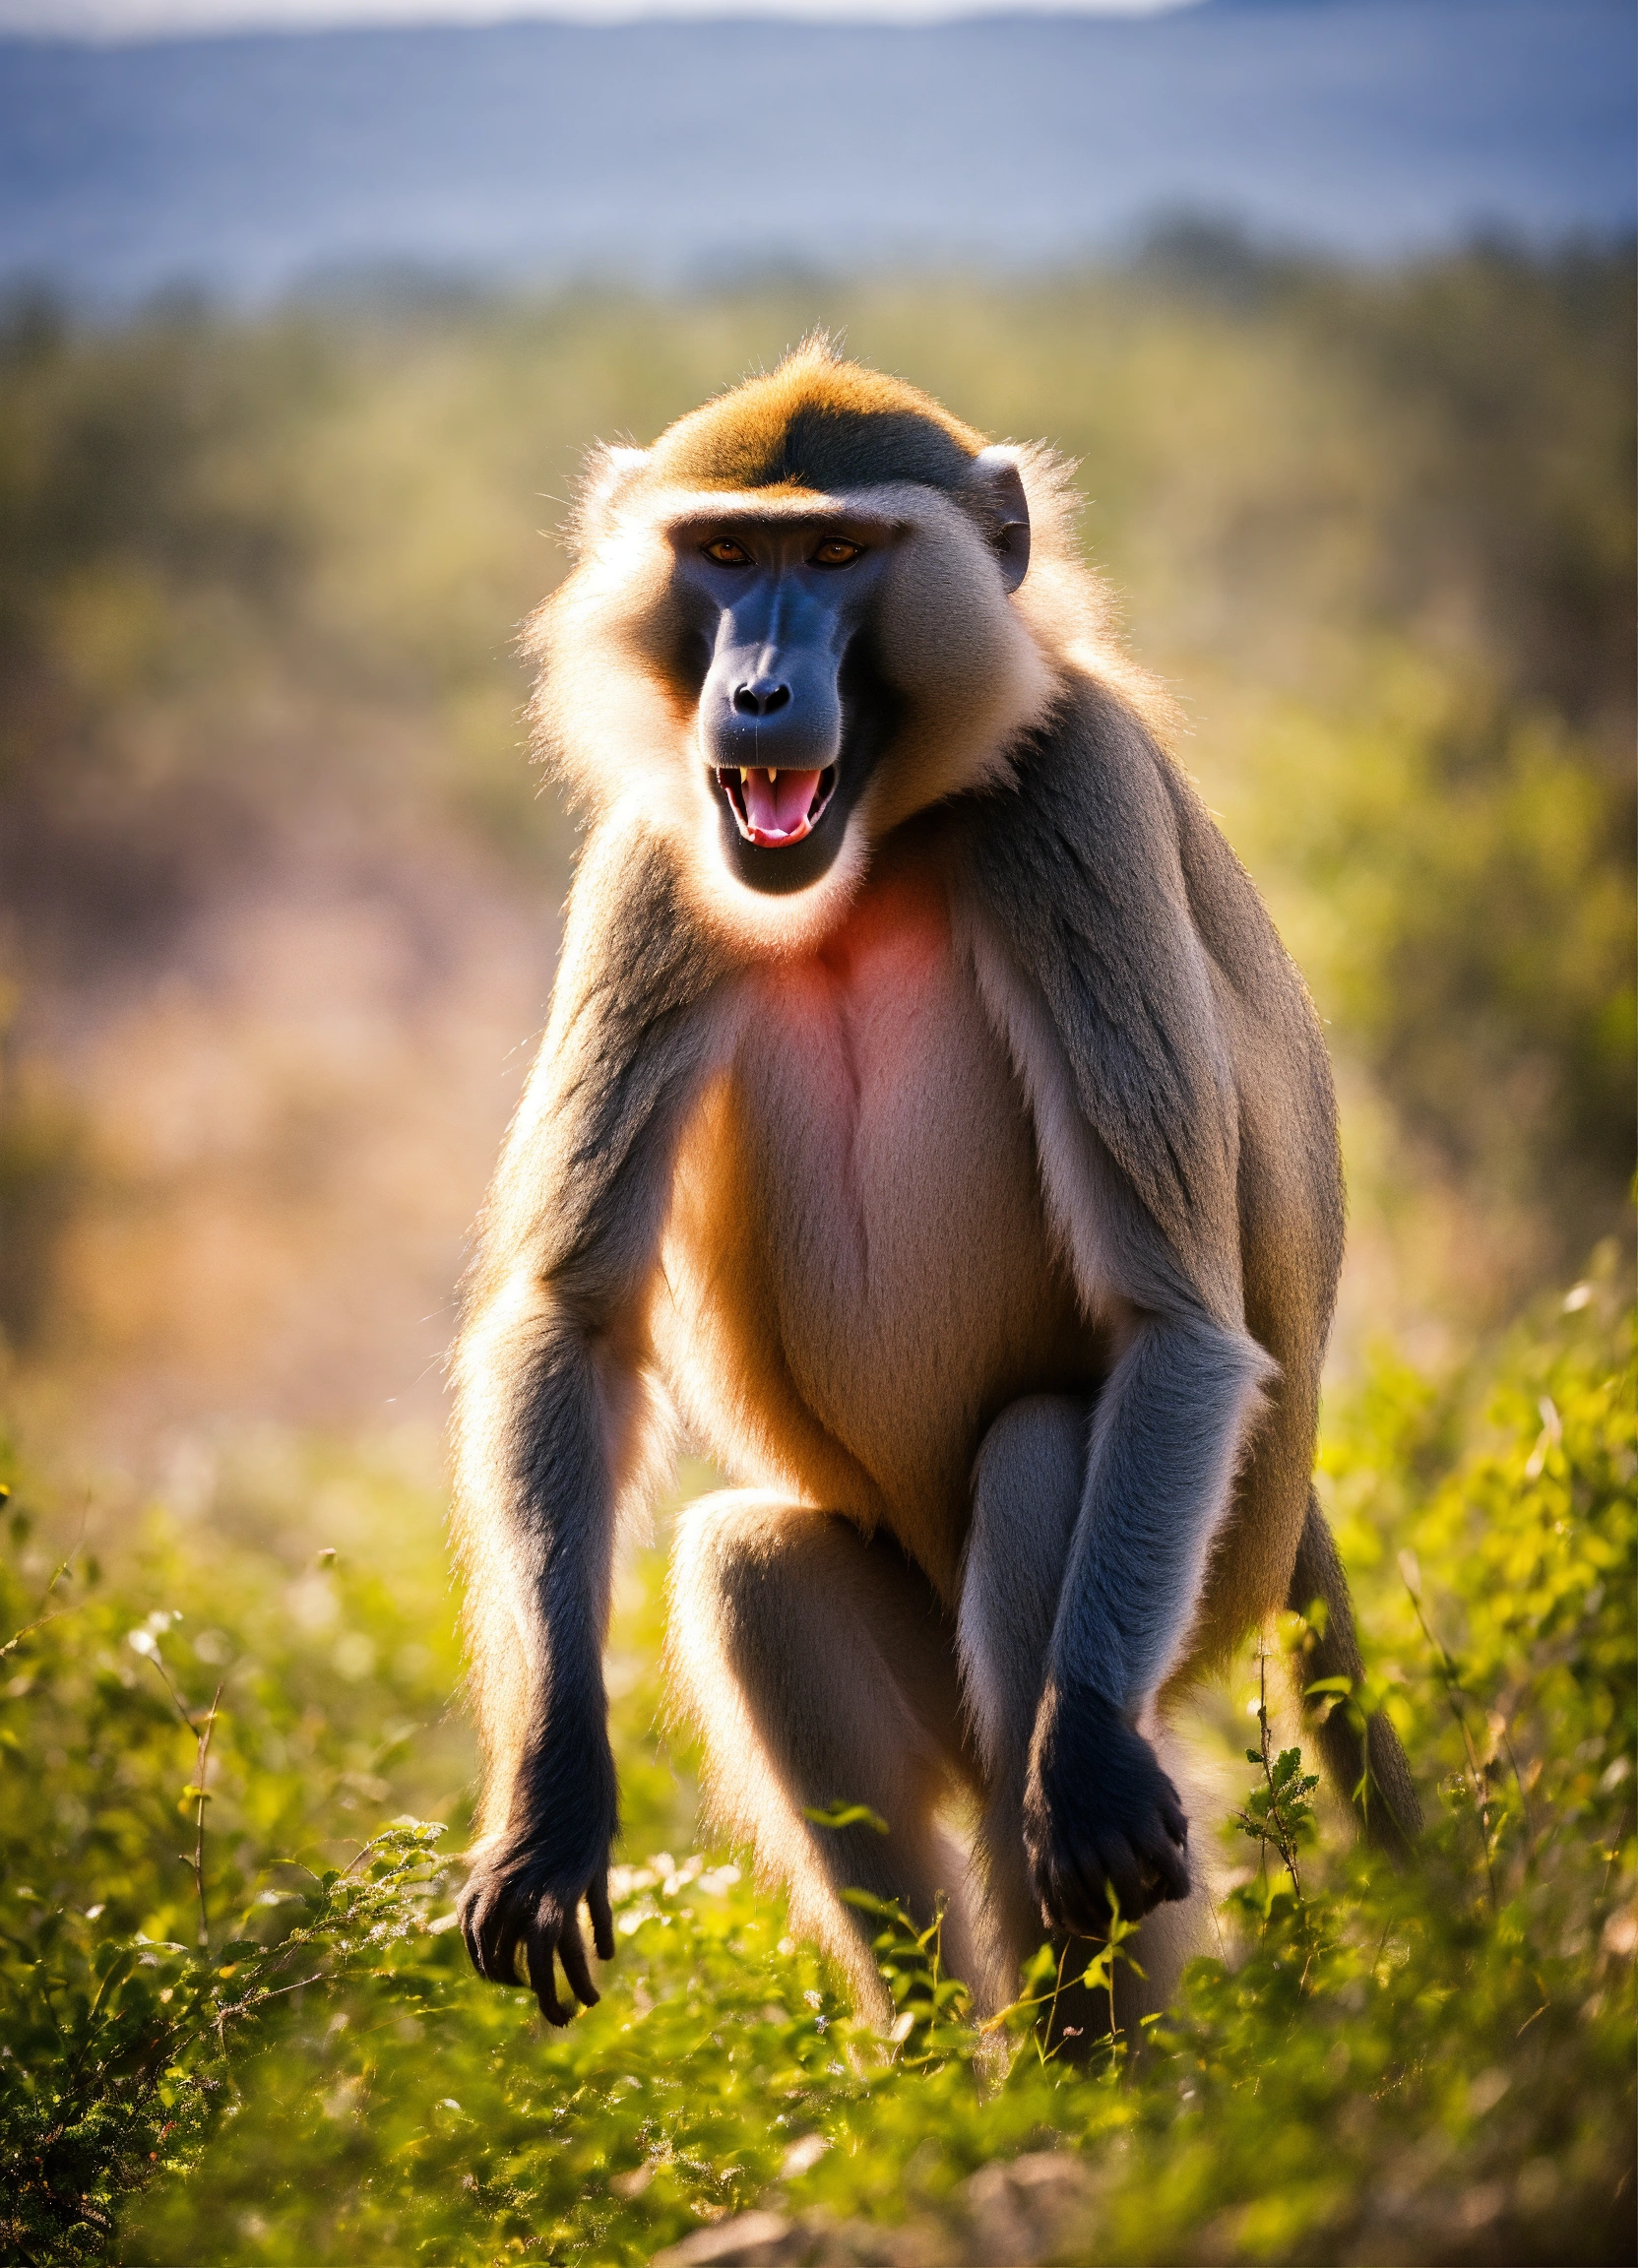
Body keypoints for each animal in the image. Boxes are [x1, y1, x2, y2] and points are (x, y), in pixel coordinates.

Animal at [450, 336, 1420, 2032]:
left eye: (839, 556)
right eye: (726, 553)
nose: (759, 693)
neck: (884, 845)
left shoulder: (1071, 804)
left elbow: (1175, 1329)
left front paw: (1084, 1772)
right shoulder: (664, 849)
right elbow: (570, 1318)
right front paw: (551, 1805)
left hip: (1210, 1575)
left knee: (1042, 1470)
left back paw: (1096, 2055)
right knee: (754, 1571)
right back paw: (942, 2064)